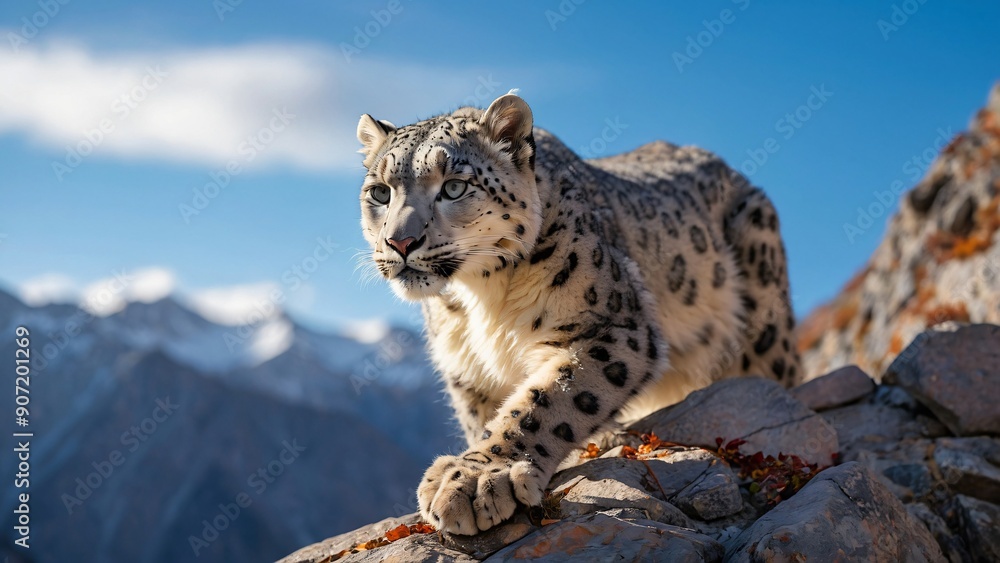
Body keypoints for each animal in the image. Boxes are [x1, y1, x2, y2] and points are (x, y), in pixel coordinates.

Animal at [356, 92, 801, 535]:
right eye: (380, 192)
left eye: (453, 187)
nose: (399, 242)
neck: (480, 298)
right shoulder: (468, 371)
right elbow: (487, 415)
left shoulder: (613, 327)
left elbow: (547, 402)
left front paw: (477, 479)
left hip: (763, 318)